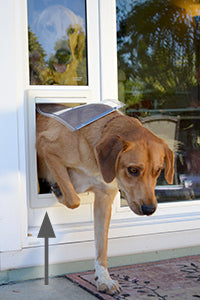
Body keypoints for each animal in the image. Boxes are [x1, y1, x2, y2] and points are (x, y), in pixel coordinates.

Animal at [36, 106, 174, 296]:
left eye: (158, 170)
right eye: (132, 170)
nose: (149, 209)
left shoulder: (104, 200)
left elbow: (102, 245)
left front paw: (103, 278)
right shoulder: (46, 147)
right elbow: (73, 199)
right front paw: (61, 189)